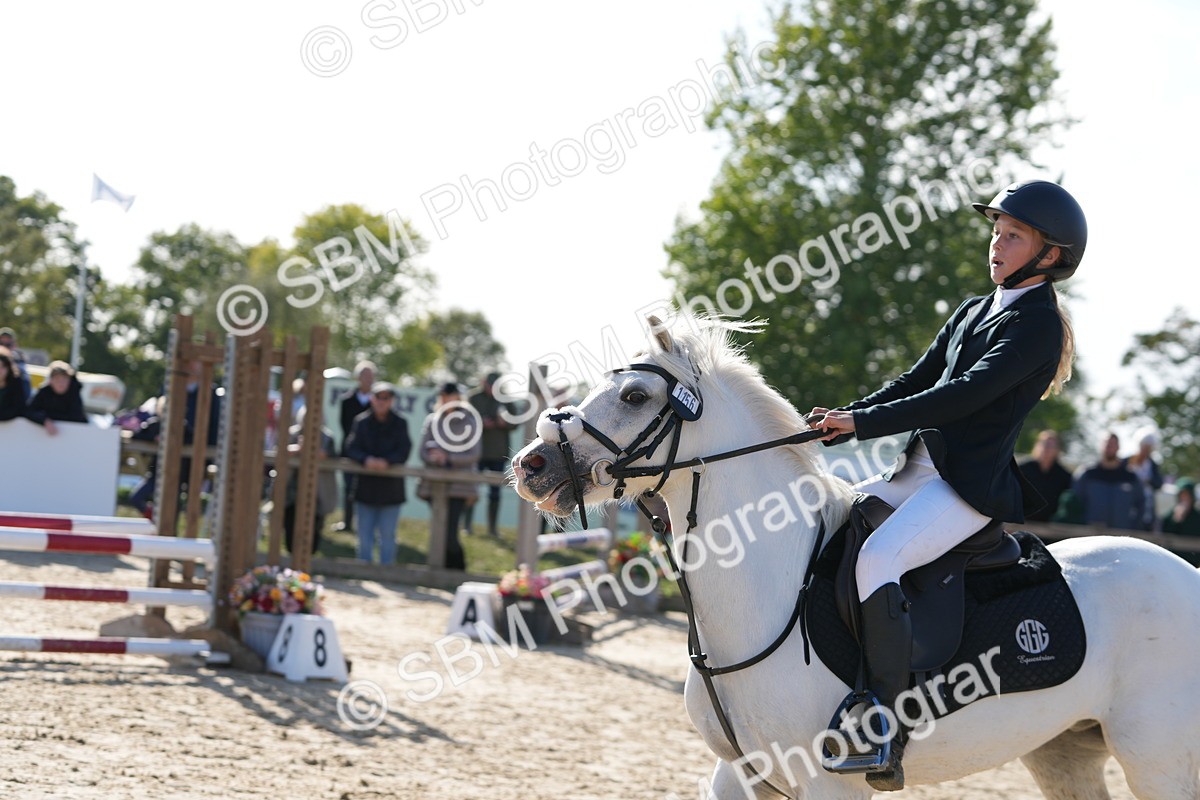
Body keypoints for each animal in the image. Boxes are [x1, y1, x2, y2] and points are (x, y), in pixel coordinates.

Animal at [511, 314, 1200, 799]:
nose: (530, 465)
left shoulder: (828, 784)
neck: (768, 586)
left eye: (632, 396)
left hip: (1158, 762)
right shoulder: (740, 776)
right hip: (1065, 754)